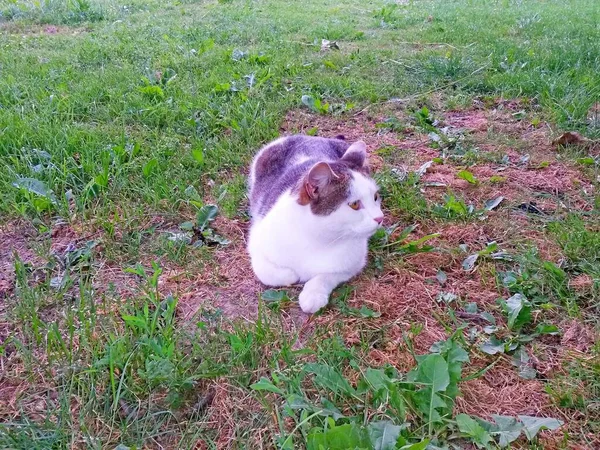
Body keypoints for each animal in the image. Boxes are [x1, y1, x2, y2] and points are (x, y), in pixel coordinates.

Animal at [246, 134, 382, 312]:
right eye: (354, 204)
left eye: (375, 197)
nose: (380, 218)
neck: (318, 238)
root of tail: (312, 137)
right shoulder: (256, 242)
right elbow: (266, 271)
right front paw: (291, 275)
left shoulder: (353, 264)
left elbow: (327, 276)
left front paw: (313, 294)